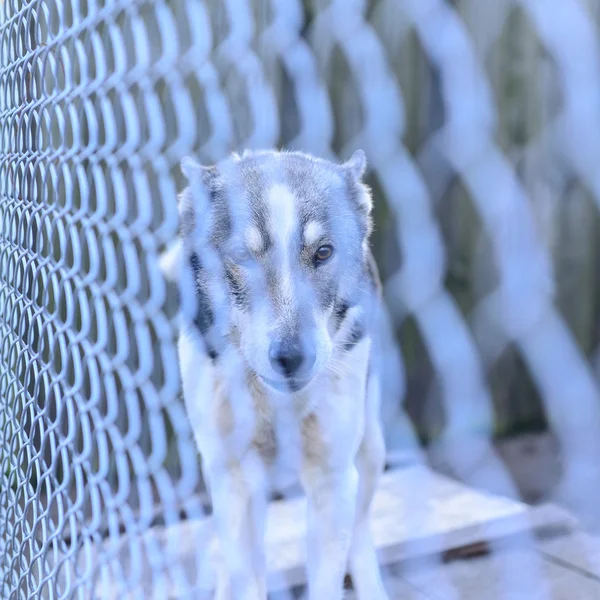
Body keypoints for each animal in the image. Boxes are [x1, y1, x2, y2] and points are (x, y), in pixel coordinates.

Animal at [162, 150, 392, 600]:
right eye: (241, 255)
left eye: (323, 252)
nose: (291, 357)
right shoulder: (234, 476)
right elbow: (246, 576)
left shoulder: (332, 478)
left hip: (371, 448)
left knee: (359, 530)